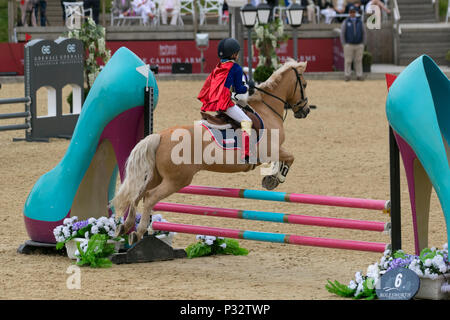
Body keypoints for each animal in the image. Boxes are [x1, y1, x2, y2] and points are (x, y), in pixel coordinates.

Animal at [110, 58, 312, 244]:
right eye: (304, 84)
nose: (305, 111)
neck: (268, 109)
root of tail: (160, 136)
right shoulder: (270, 150)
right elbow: (289, 158)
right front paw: (274, 179)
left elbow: (284, 159)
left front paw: (270, 178)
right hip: (177, 180)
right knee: (150, 197)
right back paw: (138, 232)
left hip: (156, 176)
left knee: (138, 193)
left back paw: (125, 227)